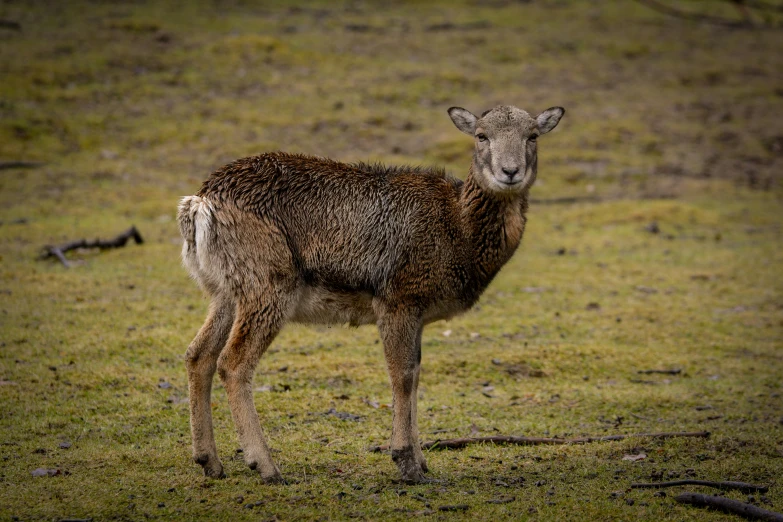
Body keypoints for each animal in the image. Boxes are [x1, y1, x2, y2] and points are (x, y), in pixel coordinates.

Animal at [179, 103, 564, 482]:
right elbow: (403, 375)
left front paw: (422, 462)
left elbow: (416, 373)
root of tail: (200, 203)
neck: (458, 230)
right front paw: (407, 464)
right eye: (481, 135)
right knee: (233, 362)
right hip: (268, 285)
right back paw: (266, 466)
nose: (510, 171)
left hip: (226, 291)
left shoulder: (417, 313)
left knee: (199, 354)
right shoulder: (398, 299)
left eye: (533, 135)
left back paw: (210, 462)